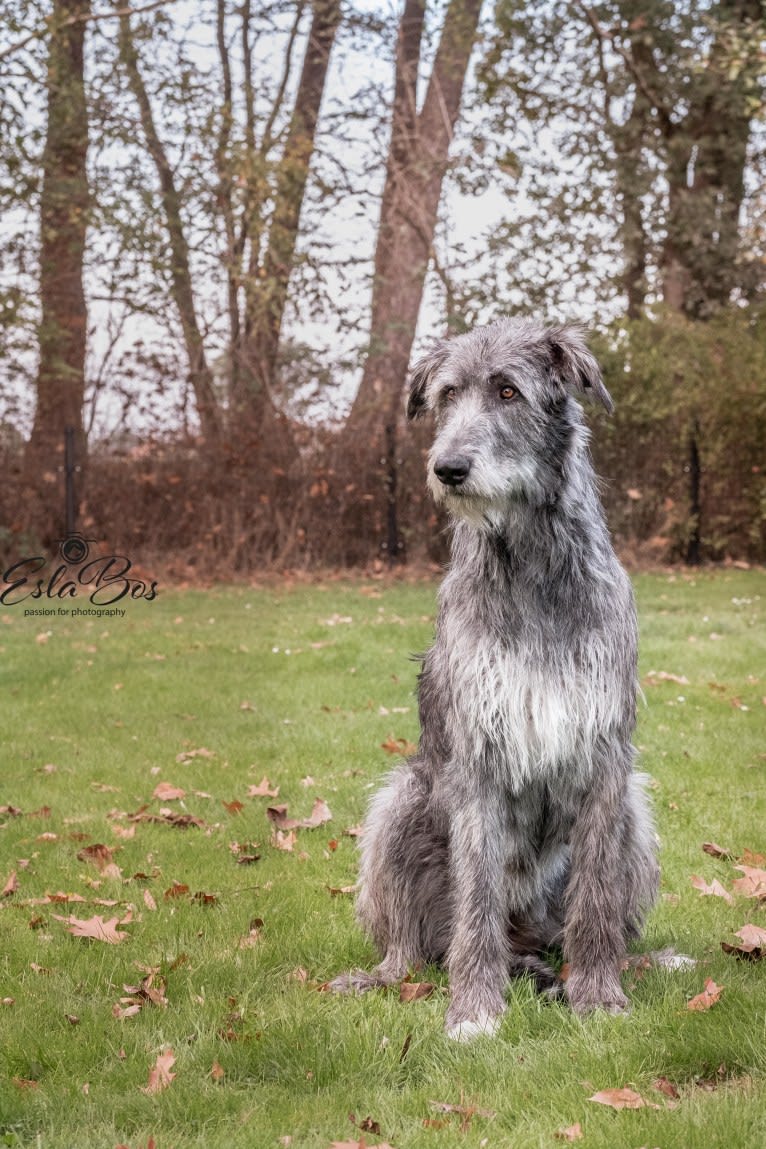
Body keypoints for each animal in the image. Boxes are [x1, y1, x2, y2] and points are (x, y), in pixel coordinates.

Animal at [333, 317, 661, 1043]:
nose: (447, 468)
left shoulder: (606, 757)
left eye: (509, 390)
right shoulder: (480, 754)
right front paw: (475, 1008)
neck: (532, 562)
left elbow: (596, 892)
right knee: (414, 941)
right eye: (447, 394)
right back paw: (390, 972)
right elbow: (476, 898)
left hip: (636, 815)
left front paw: (600, 994)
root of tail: (528, 937)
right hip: (402, 802)